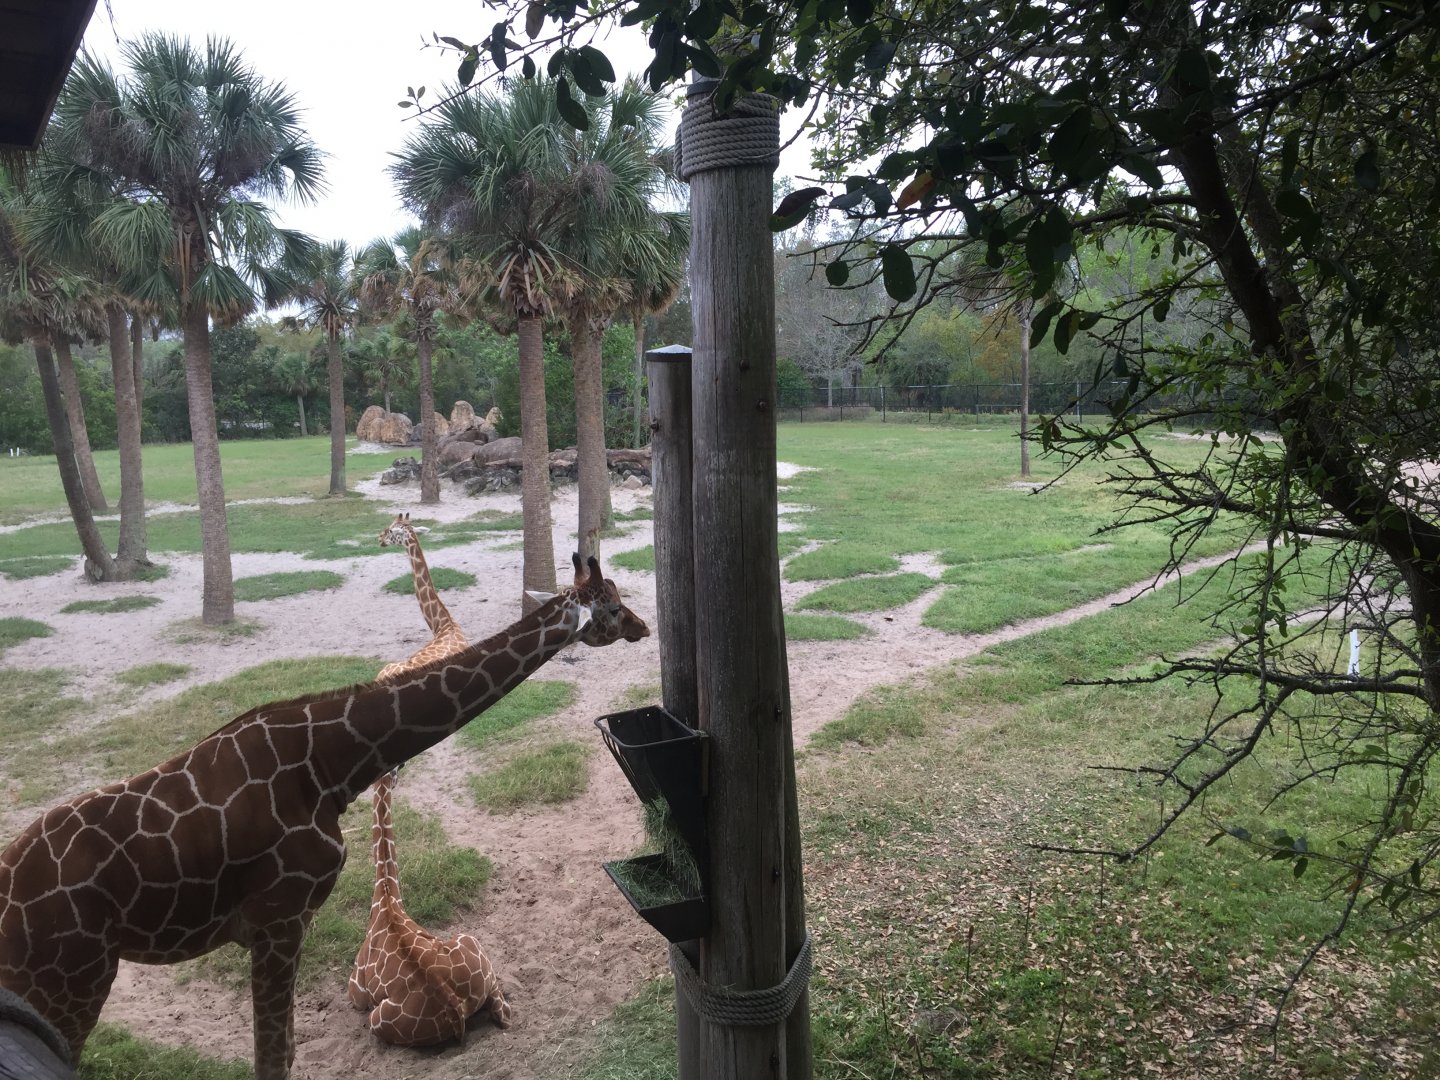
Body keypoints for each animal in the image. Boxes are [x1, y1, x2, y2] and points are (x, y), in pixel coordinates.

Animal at [347, 768, 510, 1045]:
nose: (396, 780)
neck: (386, 897)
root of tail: (456, 1007)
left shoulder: (356, 990)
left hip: (375, 1019)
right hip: (471, 943)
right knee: (503, 1013)